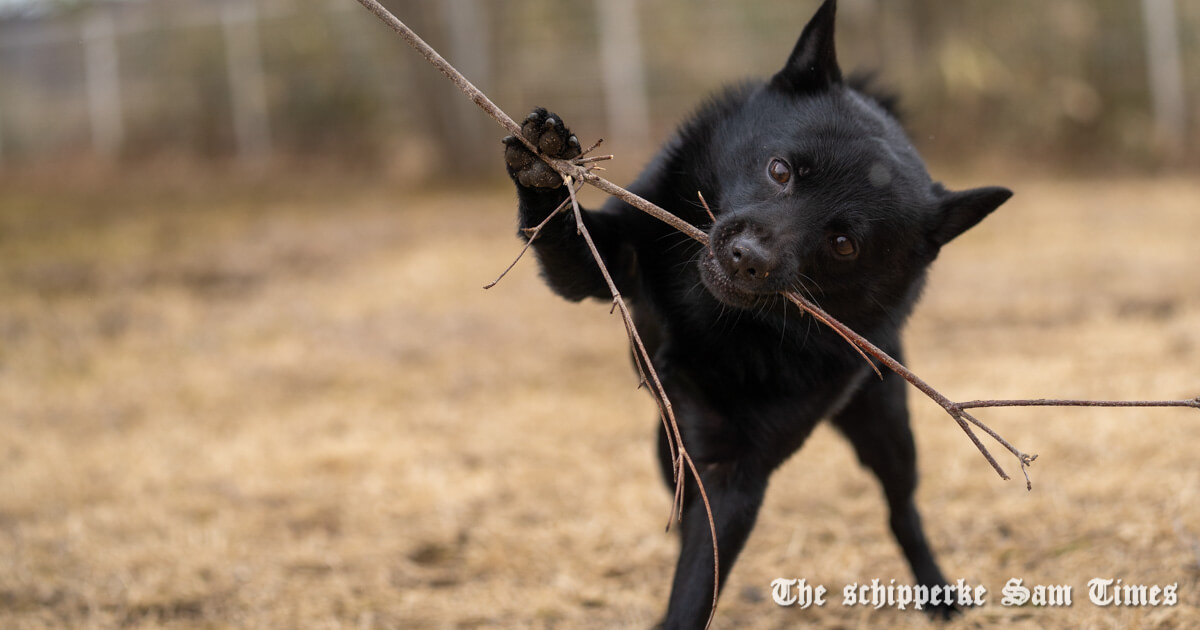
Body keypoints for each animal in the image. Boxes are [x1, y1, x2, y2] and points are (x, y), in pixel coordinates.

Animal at [501, 2, 1008, 624]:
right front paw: (543, 163)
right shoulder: (607, 265)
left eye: (844, 244)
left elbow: (698, 586)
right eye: (780, 170)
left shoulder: (736, 473)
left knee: (901, 509)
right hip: (669, 447)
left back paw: (938, 594)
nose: (749, 259)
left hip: (887, 430)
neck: (716, 319)